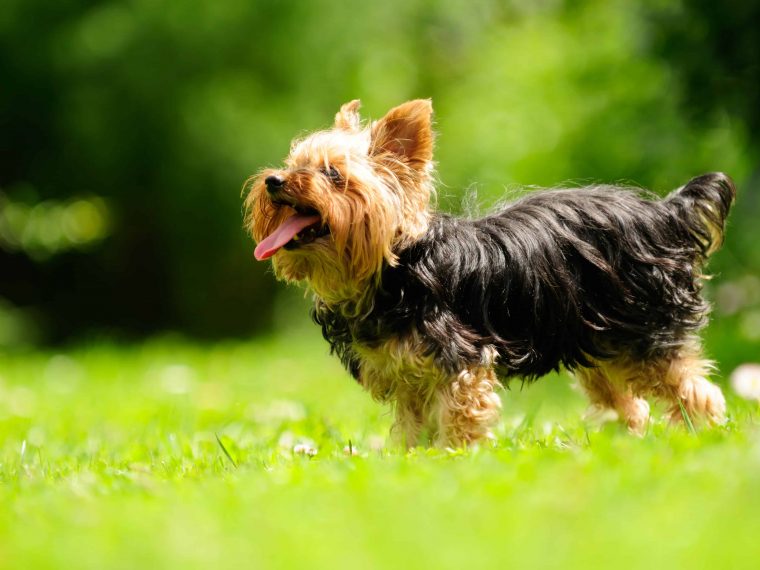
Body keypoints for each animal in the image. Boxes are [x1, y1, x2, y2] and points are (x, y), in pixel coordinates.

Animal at [245, 98, 736, 444]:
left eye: (332, 175)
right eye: (293, 165)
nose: (274, 181)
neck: (391, 270)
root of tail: (664, 213)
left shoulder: (461, 363)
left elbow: (459, 421)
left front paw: (453, 460)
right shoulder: (408, 380)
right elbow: (412, 431)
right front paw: (411, 463)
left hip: (646, 332)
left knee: (697, 391)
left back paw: (704, 439)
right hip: (597, 341)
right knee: (629, 405)